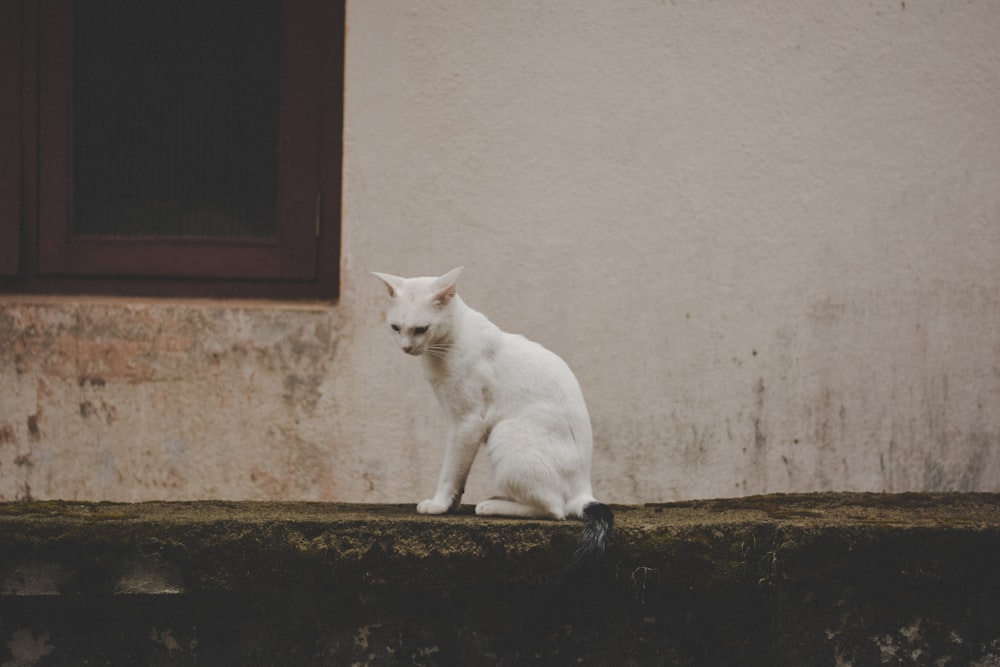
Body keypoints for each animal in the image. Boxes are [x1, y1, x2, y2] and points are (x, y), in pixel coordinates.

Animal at [374, 264, 608, 568]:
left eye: (421, 329)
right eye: (396, 328)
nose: (405, 348)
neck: (448, 344)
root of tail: (584, 490)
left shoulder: (467, 423)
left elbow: (450, 468)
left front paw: (439, 503)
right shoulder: (458, 420)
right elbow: (460, 472)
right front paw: (452, 504)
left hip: (505, 432)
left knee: (554, 509)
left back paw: (493, 506)